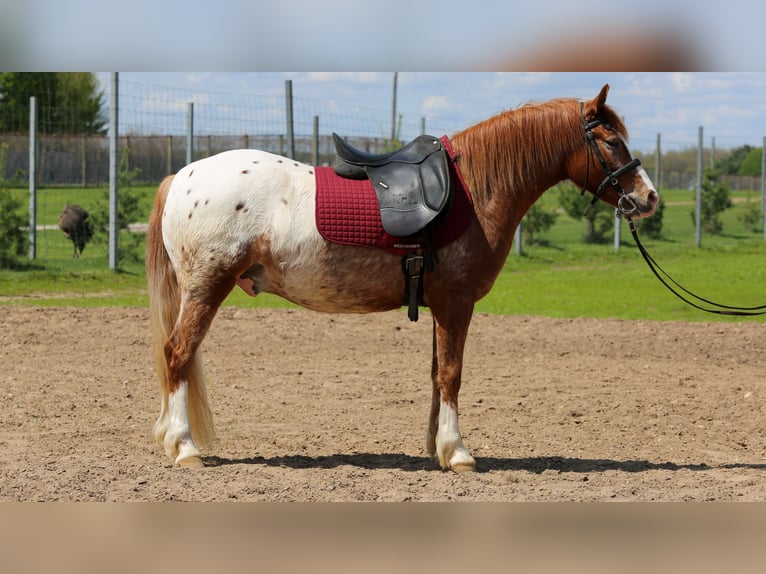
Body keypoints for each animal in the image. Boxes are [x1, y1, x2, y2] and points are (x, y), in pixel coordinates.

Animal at [146, 84, 659, 472]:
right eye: (610, 141)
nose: (649, 198)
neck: (475, 187)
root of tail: (180, 176)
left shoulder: (442, 306)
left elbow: (436, 373)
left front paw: (437, 447)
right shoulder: (456, 303)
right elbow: (452, 373)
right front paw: (458, 453)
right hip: (207, 288)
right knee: (177, 354)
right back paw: (185, 447)